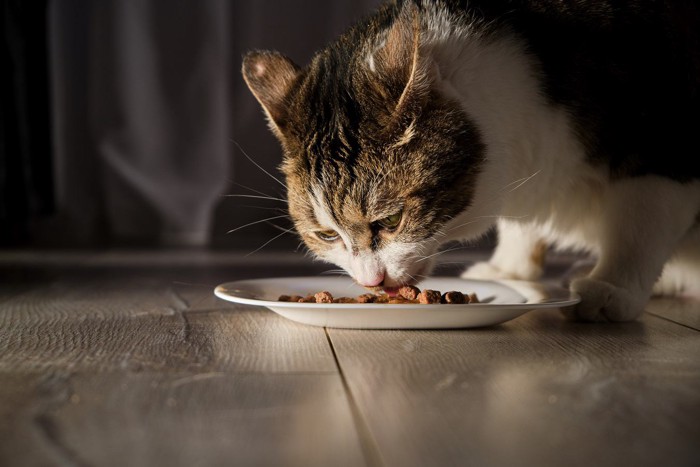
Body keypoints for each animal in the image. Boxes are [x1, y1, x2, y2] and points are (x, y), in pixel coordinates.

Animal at [242, 0, 700, 322]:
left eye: (391, 221)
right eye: (326, 235)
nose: (372, 281)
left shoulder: (664, 143)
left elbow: (641, 221)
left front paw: (612, 285)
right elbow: (523, 224)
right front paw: (510, 269)